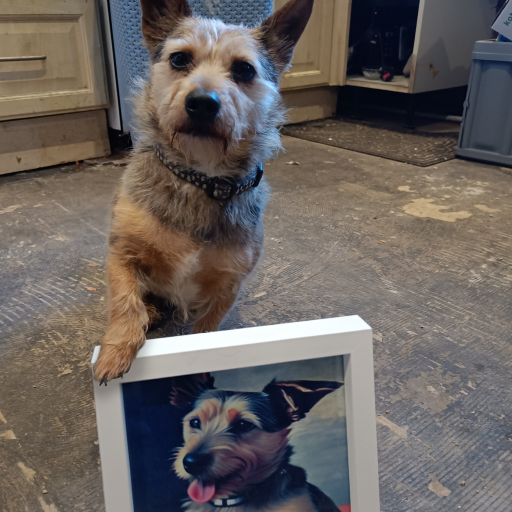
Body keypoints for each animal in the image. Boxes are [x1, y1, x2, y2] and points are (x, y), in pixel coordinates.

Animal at [93, 0, 314, 384]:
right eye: (180, 59)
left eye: (244, 69)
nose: (202, 102)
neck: (200, 178)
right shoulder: (121, 254)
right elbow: (125, 303)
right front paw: (116, 350)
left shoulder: (227, 286)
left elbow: (206, 331)